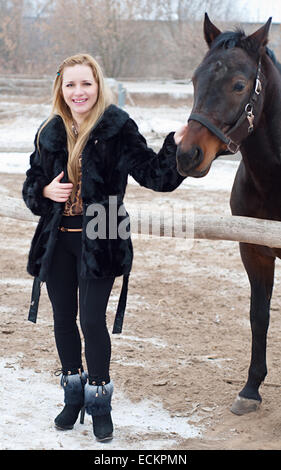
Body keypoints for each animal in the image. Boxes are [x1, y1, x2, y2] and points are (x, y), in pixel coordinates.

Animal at [175, 12, 280, 414]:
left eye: (239, 85)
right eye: (195, 80)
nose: (187, 155)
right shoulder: (254, 251)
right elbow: (259, 315)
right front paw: (250, 389)